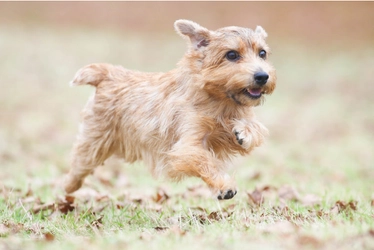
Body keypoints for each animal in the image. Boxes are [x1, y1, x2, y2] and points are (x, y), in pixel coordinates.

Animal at [63, 19, 274, 199]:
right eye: (231, 54)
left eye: (262, 53)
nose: (263, 76)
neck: (221, 101)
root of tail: (110, 73)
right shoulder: (188, 143)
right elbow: (204, 160)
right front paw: (224, 186)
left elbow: (255, 127)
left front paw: (244, 132)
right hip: (94, 143)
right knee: (79, 164)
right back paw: (68, 186)